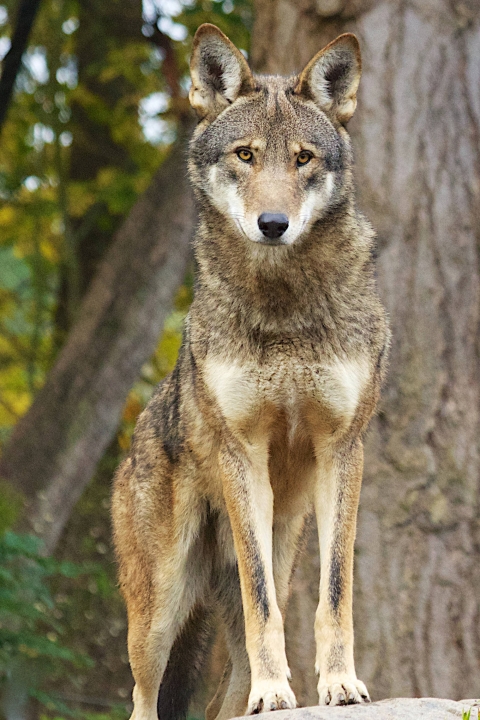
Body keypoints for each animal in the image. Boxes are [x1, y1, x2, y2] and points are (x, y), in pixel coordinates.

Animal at [112, 22, 389, 720]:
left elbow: (336, 592)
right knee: (143, 697)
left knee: (227, 692)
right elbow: (262, 599)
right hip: (157, 615)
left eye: (302, 159)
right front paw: (278, 690)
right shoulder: (243, 454)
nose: (273, 224)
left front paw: (340, 685)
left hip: (273, 559)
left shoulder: (344, 449)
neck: (283, 303)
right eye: (245, 155)